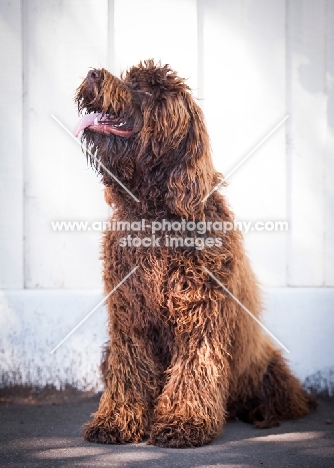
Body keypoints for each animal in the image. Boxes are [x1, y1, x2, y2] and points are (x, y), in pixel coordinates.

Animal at [73, 60, 316, 448]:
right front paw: (116, 421)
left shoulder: (200, 313)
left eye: (146, 89)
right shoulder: (129, 318)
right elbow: (129, 372)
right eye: (127, 78)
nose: (94, 73)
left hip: (267, 369)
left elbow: (194, 368)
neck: (156, 213)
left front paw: (184, 422)